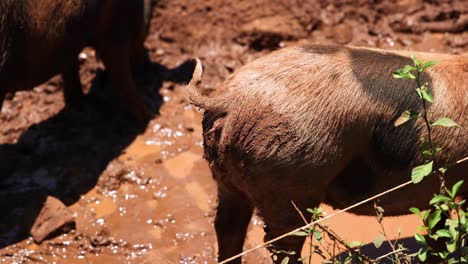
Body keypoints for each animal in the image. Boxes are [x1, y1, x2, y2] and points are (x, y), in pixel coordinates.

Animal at [0, 0, 155, 124]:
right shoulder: (116, 30)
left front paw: (77, 103)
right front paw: (148, 117)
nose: (148, 66)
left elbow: (70, 68)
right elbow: (123, 75)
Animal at [185, 46, 468, 264]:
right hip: (288, 177)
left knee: (227, 227)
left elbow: (438, 231)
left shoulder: (439, 190)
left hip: (227, 179)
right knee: (280, 244)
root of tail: (228, 101)